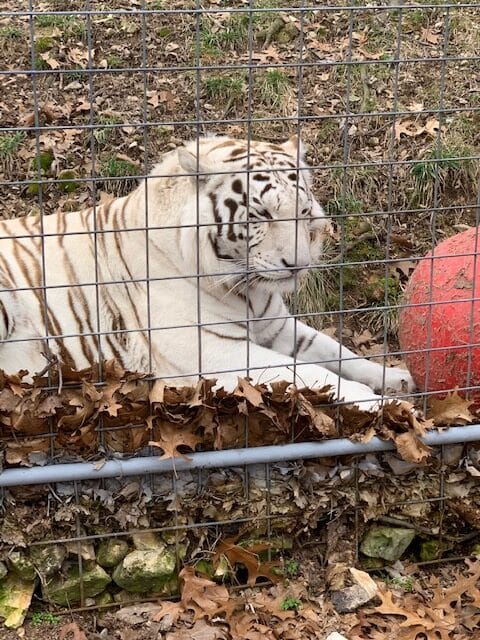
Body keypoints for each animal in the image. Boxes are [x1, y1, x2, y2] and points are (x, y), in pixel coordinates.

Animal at [0, 138, 412, 412]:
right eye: (262, 215)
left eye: (303, 211)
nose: (297, 264)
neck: (249, 289)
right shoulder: (214, 349)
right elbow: (308, 372)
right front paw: (379, 402)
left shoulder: (276, 326)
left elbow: (335, 351)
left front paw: (395, 379)